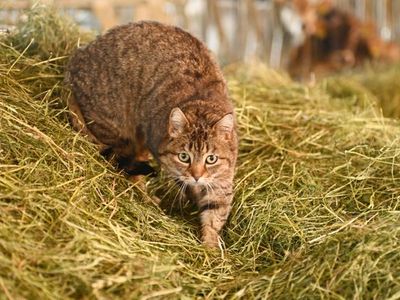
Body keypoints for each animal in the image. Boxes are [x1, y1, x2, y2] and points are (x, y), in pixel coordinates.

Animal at [65, 20, 238, 246]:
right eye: (184, 157)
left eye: (211, 159)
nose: (197, 176)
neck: (202, 104)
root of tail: (76, 61)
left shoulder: (223, 179)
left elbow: (215, 213)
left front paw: (210, 245)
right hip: (121, 130)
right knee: (123, 165)